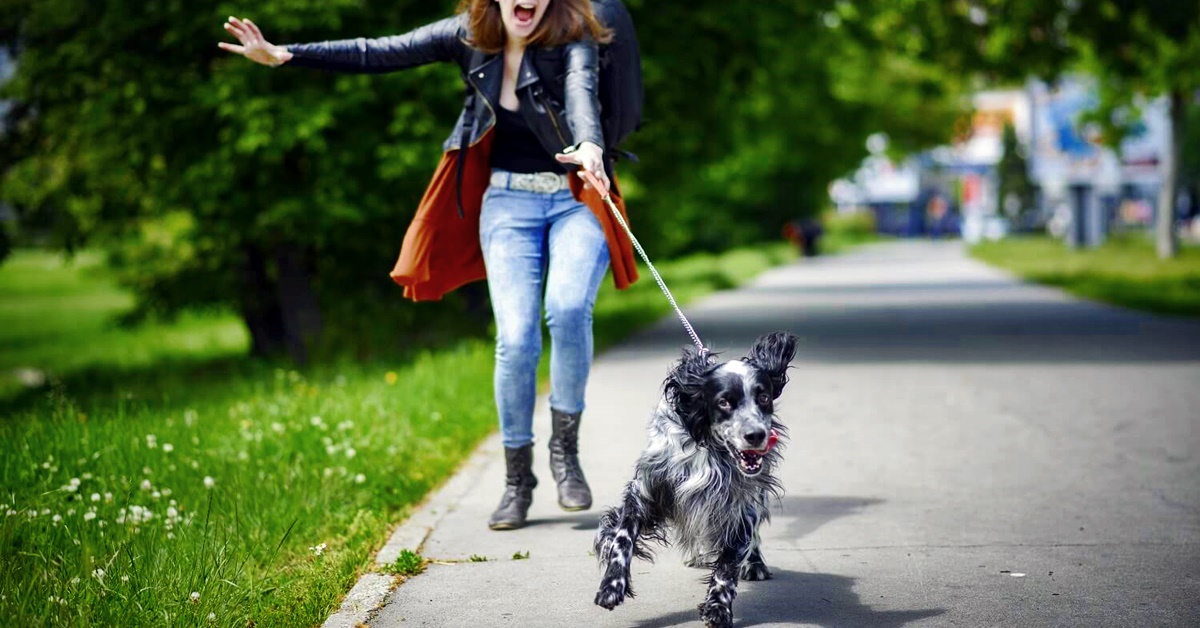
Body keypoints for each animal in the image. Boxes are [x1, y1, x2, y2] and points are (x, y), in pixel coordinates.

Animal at [592, 331, 796, 624]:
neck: (709, 449)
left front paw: (719, 606)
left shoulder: (739, 506)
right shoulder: (645, 490)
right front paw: (612, 586)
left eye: (764, 397)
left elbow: (727, 565)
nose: (756, 435)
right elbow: (621, 538)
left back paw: (755, 563)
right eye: (724, 402)